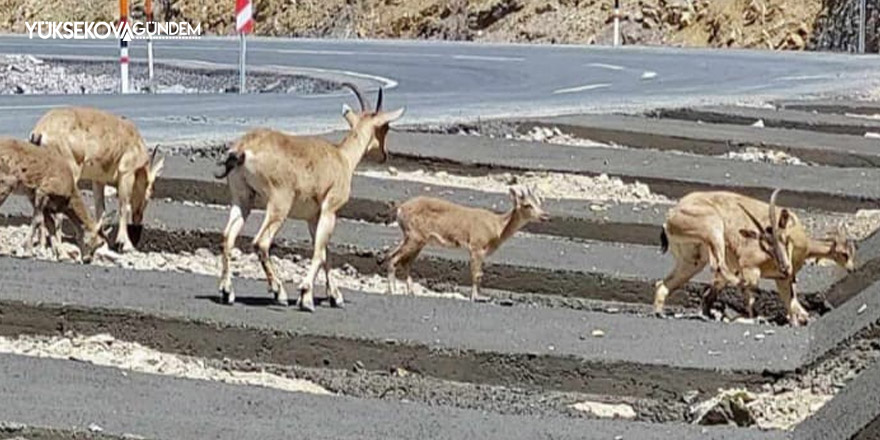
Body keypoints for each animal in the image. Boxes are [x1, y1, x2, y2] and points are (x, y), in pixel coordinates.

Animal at [30, 105, 165, 253]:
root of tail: (39, 132)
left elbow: (100, 208)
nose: (138, 220)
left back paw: (43, 246)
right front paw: (125, 245)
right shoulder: (126, 173)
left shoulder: (98, 180)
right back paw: (59, 247)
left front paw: (102, 243)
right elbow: (123, 207)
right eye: (151, 190)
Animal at [217, 82, 406, 310]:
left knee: (227, 237)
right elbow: (319, 252)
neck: (342, 158)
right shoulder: (329, 210)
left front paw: (335, 296)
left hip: (242, 198)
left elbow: (325, 253)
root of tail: (243, 149)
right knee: (261, 242)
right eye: (385, 127)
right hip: (279, 203)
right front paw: (306, 297)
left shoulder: (312, 218)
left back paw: (227, 292)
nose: (384, 154)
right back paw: (279, 292)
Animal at [386, 186, 552, 302]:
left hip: (417, 239)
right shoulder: (476, 246)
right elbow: (476, 274)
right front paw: (475, 298)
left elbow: (479, 274)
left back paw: (410, 292)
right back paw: (393, 290)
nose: (545, 215)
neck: (497, 227)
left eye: (539, 202)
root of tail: (400, 209)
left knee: (404, 261)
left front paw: (479, 296)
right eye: (527, 205)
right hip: (414, 236)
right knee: (393, 257)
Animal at [656, 189, 856, 326]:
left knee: (665, 283)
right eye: (844, 253)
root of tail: (670, 218)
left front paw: (798, 320)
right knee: (719, 266)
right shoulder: (750, 266)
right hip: (712, 226)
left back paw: (662, 312)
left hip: (692, 259)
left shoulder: (782, 279)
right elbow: (751, 294)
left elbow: (790, 301)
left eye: (784, 239)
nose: (852, 269)